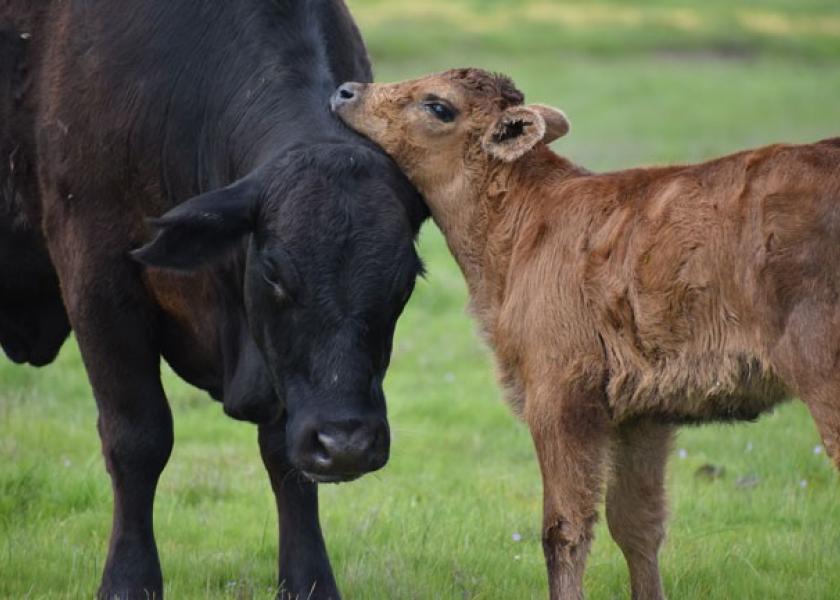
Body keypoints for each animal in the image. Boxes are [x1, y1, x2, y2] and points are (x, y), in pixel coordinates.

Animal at [0, 2, 426, 596]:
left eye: (405, 278)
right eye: (273, 271)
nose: (346, 444)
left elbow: (283, 455)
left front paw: (309, 578)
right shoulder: (96, 275)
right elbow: (137, 438)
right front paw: (129, 579)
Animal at [332, 68, 840, 596]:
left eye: (438, 106)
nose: (346, 91)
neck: (522, 226)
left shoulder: (558, 398)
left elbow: (565, 528)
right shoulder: (644, 412)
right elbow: (637, 523)